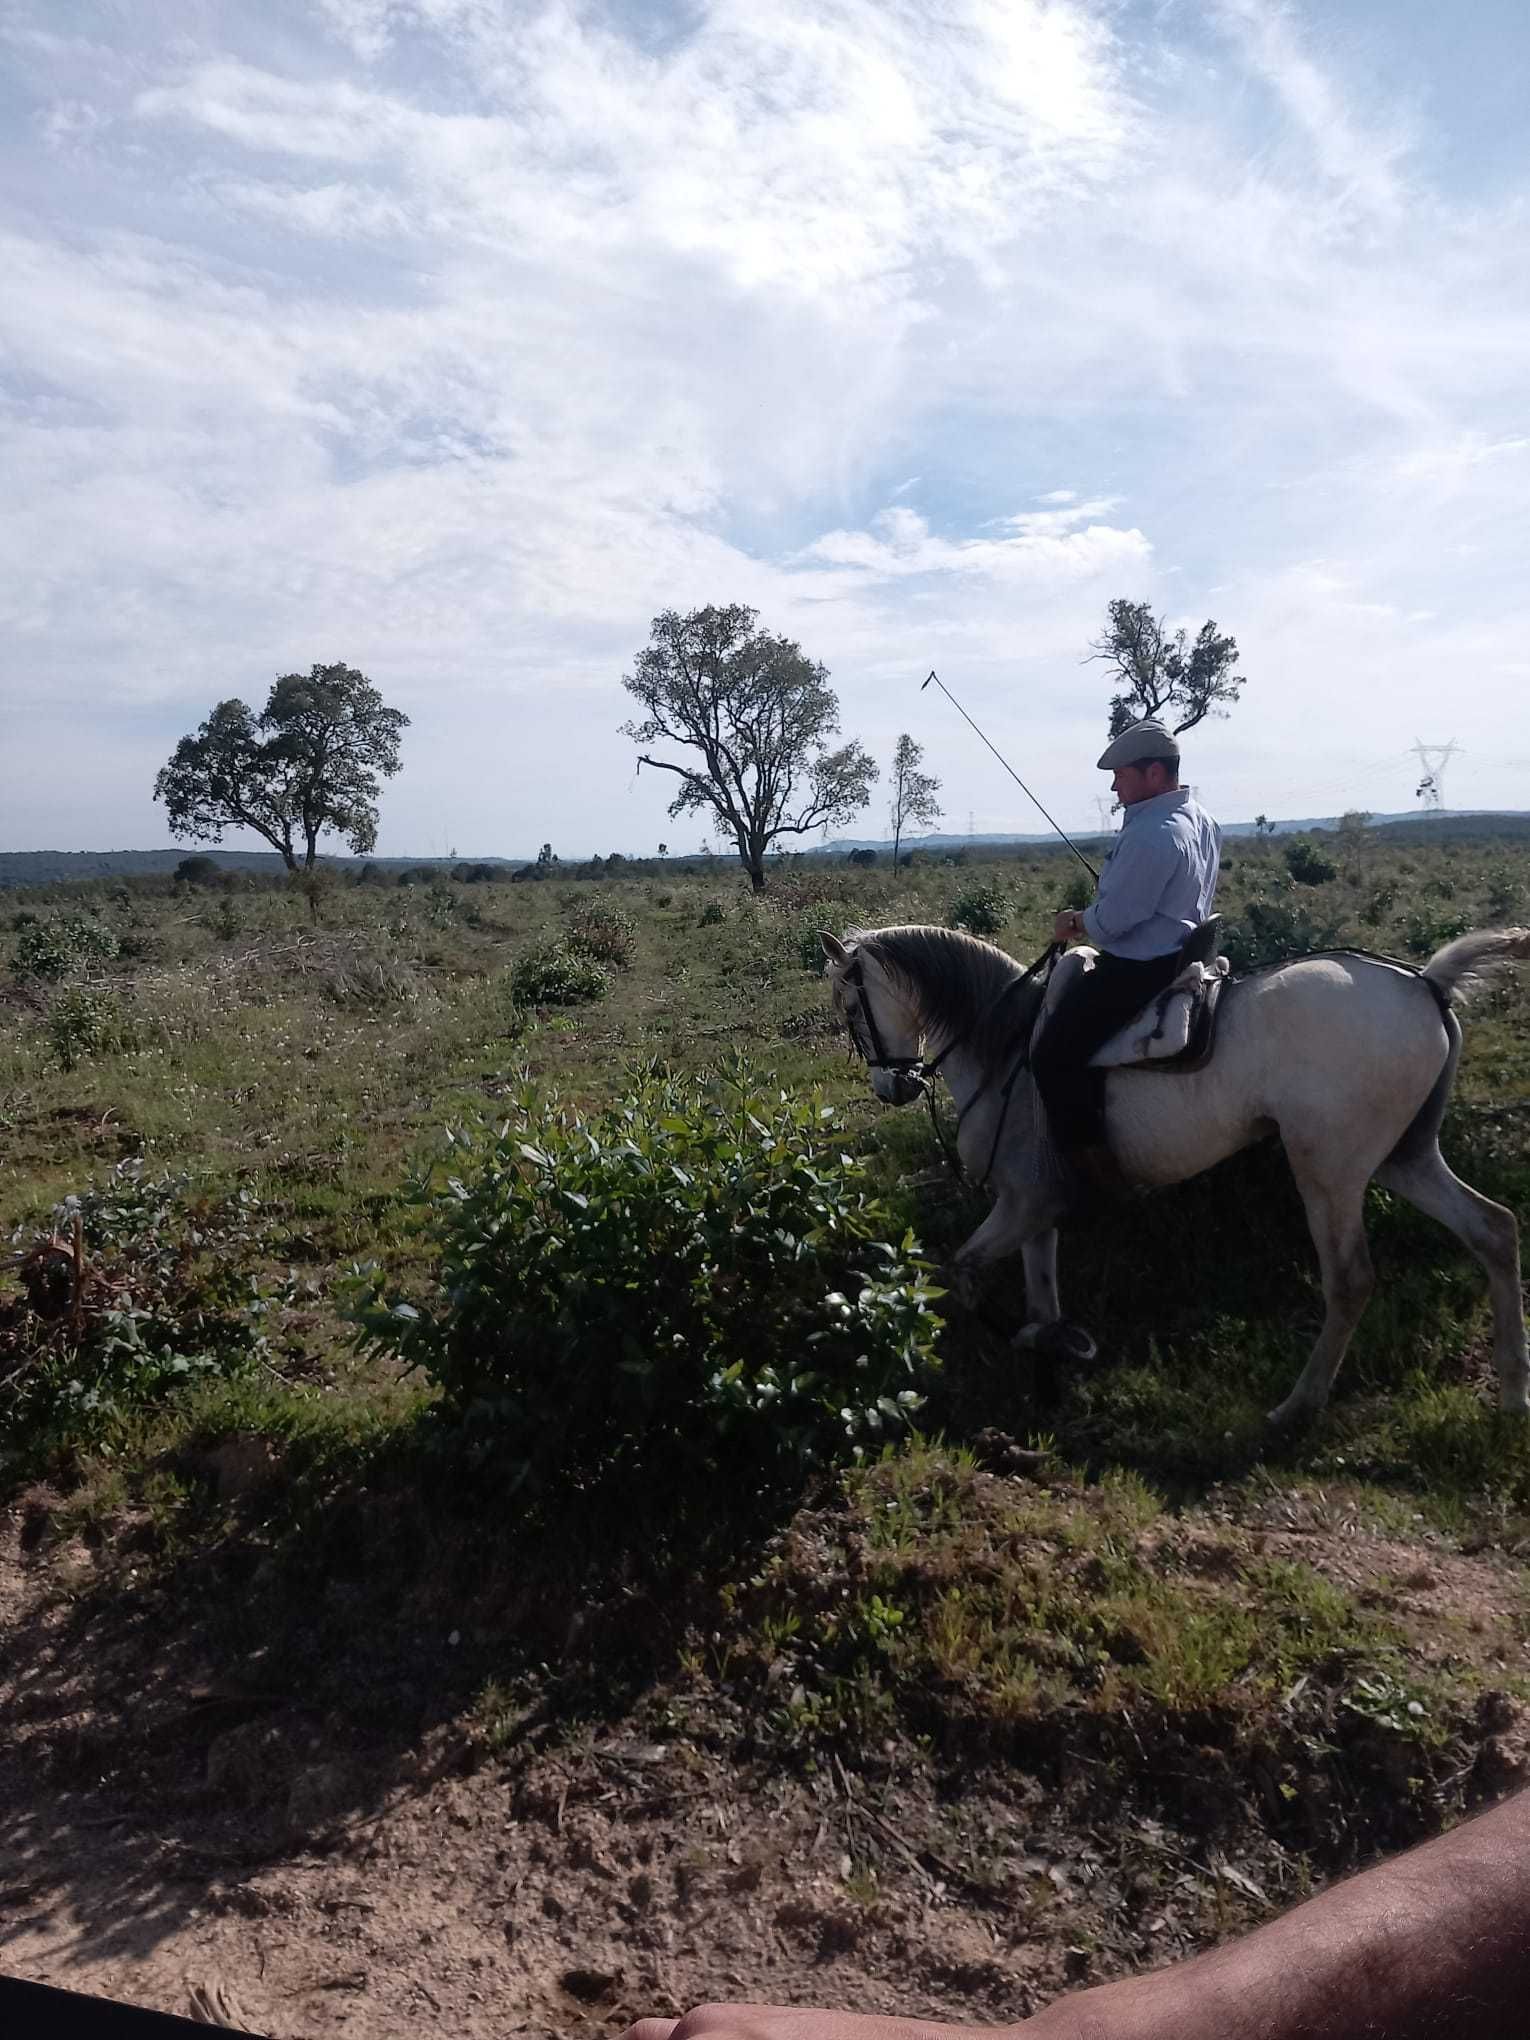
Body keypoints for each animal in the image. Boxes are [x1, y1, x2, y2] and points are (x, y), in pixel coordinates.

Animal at [828, 922, 1530, 1419]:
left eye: (851, 1008)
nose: (892, 1086)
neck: (1004, 1047)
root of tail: (1425, 983)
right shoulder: (1035, 1210)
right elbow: (1041, 1293)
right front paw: (1053, 1360)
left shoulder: (1023, 1203)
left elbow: (967, 1276)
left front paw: (1037, 1344)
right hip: (1404, 1157)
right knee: (1493, 1229)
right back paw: (1512, 1390)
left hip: (1330, 1171)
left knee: (1351, 1280)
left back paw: (1298, 1405)